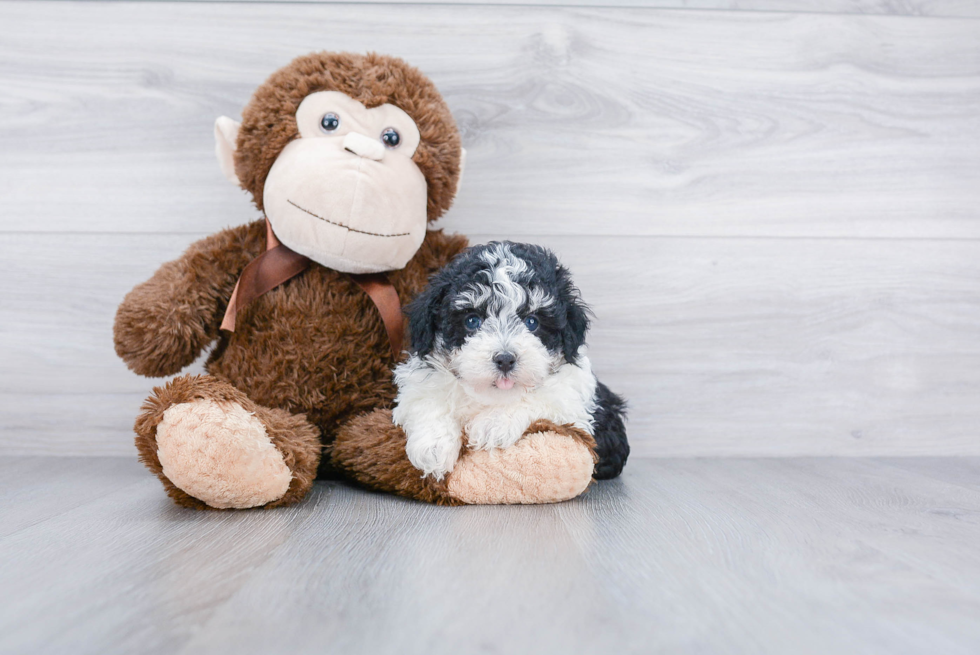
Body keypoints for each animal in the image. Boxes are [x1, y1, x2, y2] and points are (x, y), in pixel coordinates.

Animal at [390, 241, 628, 482]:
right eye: (472, 321)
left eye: (532, 322)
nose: (505, 359)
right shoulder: (421, 383)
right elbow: (426, 399)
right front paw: (433, 448)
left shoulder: (575, 402)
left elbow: (540, 396)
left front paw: (493, 424)